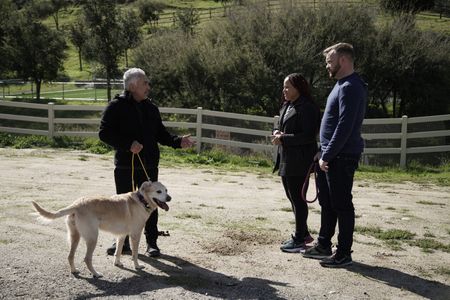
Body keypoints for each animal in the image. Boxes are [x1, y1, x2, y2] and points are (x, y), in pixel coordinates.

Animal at [31, 180, 171, 276]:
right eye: (159, 191)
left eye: (166, 190)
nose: (169, 198)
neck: (141, 200)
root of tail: (76, 204)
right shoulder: (135, 235)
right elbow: (135, 254)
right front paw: (137, 266)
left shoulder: (121, 236)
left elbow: (118, 251)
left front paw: (117, 263)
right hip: (93, 238)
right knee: (87, 259)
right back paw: (96, 274)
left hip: (75, 237)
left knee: (70, 256)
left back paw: (74, 270)